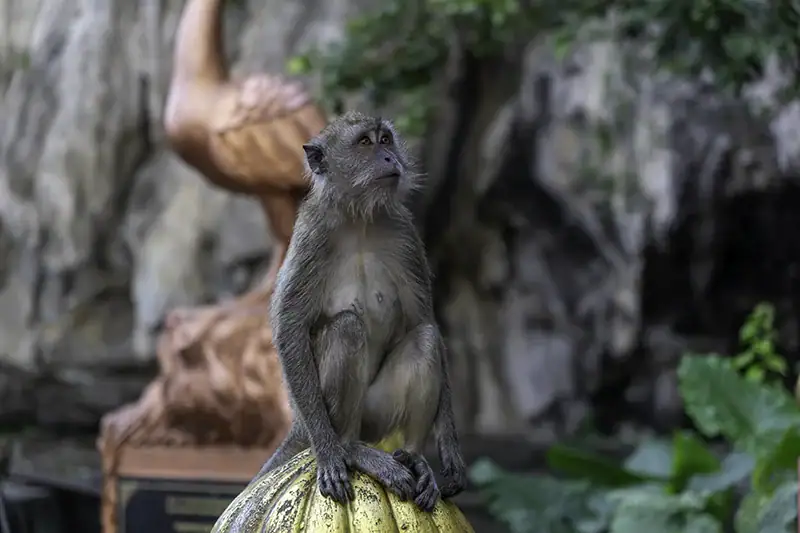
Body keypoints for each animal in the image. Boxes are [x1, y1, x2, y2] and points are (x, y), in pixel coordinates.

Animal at [257, 111, 467, 513]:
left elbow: (423, 320)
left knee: (426, 339)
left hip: (377, 416)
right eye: (365, 143)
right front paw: (328, 451)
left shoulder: (404, 232)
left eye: (385, 139)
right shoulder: (312, 233)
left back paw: (415, 457)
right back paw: (349, 448)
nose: (389, 158)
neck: (360, 219)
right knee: (347, 328)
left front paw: (449, 447)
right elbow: (290, 326)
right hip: (321, 414)